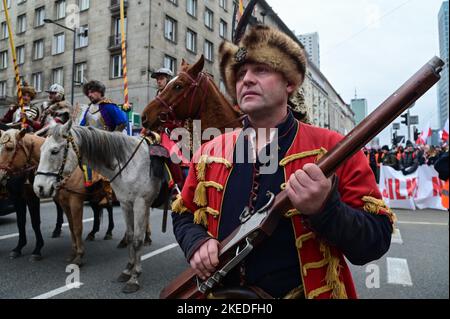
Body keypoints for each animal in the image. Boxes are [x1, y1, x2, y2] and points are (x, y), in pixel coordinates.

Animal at [0, 129, 116, 266]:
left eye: (9, 148)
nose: (0, 175)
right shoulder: (20, 198)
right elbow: (21, 222)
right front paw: (18, 248)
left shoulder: (70, 199)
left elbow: (38, 223)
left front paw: (37, 250)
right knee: (97, 209)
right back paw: (92, 233)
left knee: (109, 208)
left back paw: (109, 232)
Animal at [33, 120, 163, 296]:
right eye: (40, 150)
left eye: (54, 151)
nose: (38, 188)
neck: (131, 164)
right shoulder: (126, 203)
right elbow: (130, 237)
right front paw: (127, 270)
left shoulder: (140, 203)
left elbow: (136, 241)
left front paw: (134, 278)